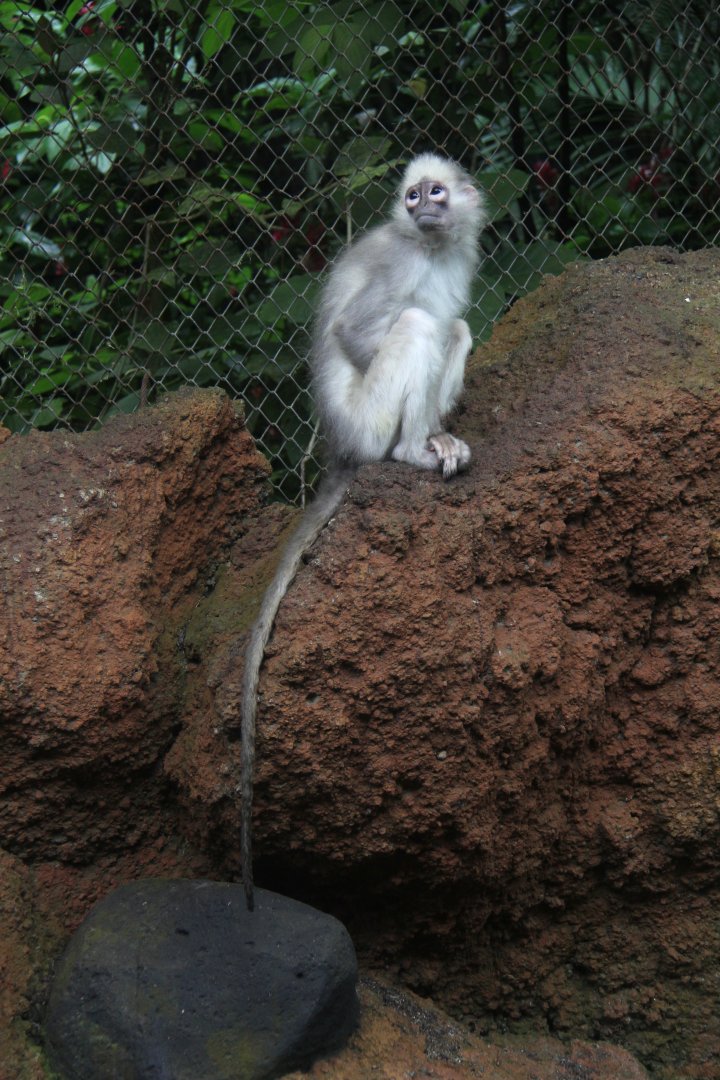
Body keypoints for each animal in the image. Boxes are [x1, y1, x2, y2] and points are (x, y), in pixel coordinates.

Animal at [240, 153, 486, 909]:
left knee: (453, 328)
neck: (430, 248)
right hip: (366, 420)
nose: (423, 207)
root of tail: (338, 450)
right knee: (420, 324)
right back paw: (410, 451)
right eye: (411, 198)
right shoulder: (395, 259)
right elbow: (356, 331)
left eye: (436, 194)